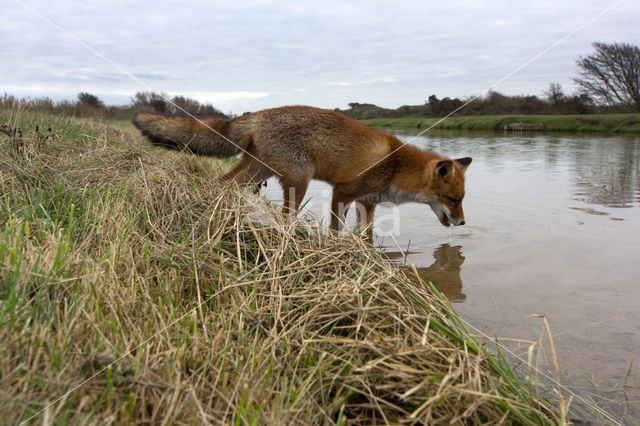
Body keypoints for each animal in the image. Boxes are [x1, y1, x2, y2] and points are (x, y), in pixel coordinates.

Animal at [132, 104, 472, 240]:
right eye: (452, 199)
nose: (463, 222)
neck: (395, 165)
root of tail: (259, 114)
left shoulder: (368, 202)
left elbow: (367, 234)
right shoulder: (343, 191)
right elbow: (336, 228)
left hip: (255, 172)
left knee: (222, 182)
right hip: (299, 180)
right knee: (286, 214)